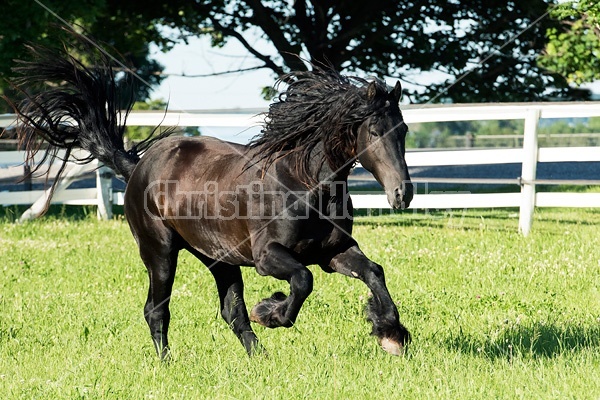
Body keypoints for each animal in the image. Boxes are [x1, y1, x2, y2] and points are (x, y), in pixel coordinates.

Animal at [10, 43, 412, 356]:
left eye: (404, 129)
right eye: (374, 131)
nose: (402, 193)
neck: (302, 184)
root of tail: (139, 167)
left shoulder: (333, 252)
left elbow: (374, 272)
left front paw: (391, 334)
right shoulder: (268, 256)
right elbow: (302, 280)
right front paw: (270, 311)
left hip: (219, 258)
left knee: (231, 312)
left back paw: (260, 360)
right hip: (159, 253)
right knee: (156, 310)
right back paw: (167, 364)